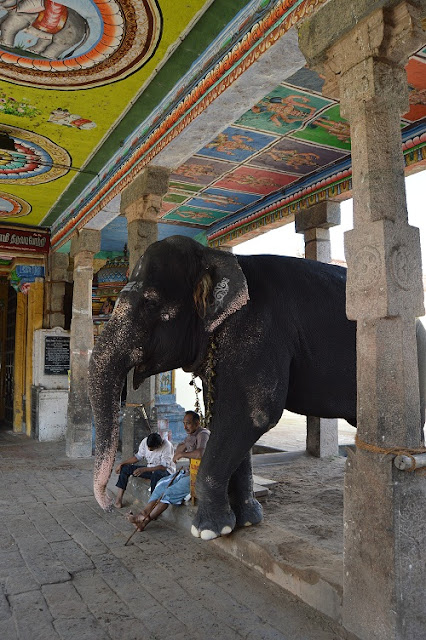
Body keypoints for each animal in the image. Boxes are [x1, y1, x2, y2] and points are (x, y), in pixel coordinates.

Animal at [87, 235, 426, 540]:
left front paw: (208, 530)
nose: (110, 505)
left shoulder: (259, 329)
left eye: (150, 303)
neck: (218, 258)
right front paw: (245, 522)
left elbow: (252, 414)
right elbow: (223, 415)